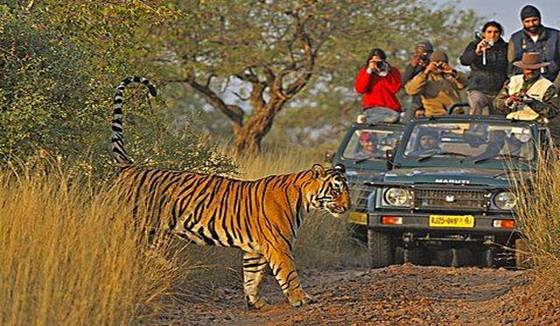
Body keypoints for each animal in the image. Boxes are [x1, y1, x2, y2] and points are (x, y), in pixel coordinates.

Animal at [109, 76, 350, 308]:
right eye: (336, 189)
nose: (348, 206)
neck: (303, 199)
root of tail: (131, 166)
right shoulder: (278, 245)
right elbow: (289, 273)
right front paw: (300, 299)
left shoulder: (255, 249)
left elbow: (252, 278)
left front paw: (255, 303)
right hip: (136, 224)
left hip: (156, 233)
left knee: (150, 253)